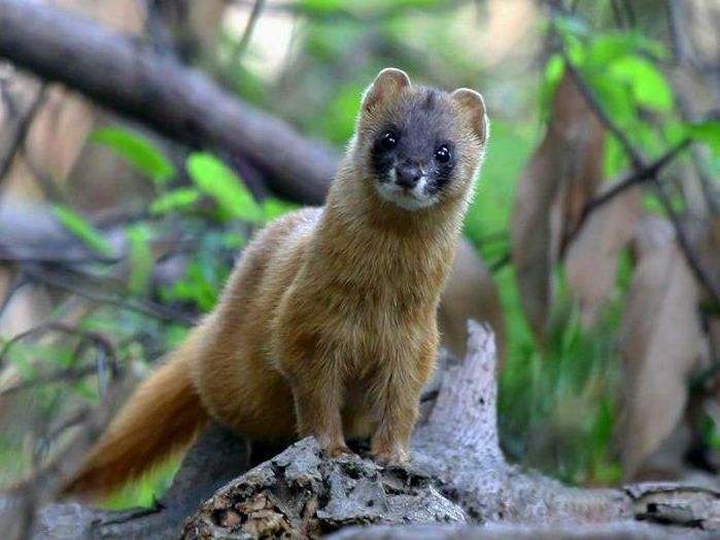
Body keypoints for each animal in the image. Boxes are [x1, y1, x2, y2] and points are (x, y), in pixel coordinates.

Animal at [63, 69, 490, 500]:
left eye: (444, 151)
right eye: (388, 136)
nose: (408, 172)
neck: (376, 302)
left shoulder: (415, 346)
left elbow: (401, 405)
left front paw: (394, 457)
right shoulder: (306, 326)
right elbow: (316, 396)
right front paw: (334, 449)